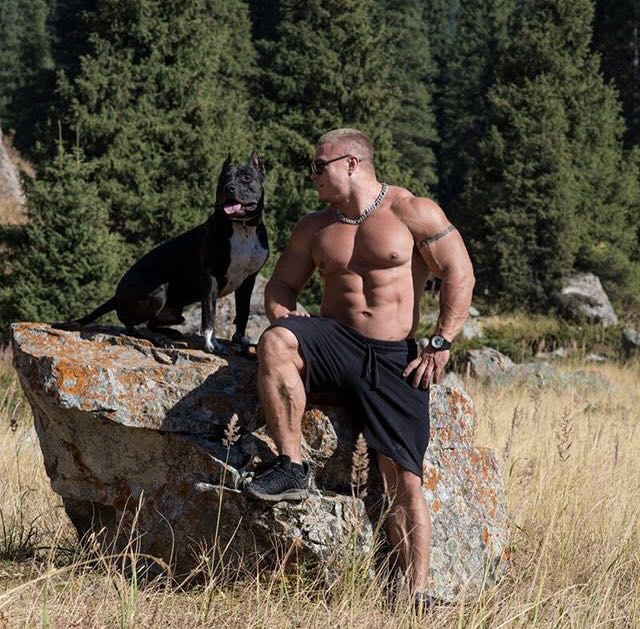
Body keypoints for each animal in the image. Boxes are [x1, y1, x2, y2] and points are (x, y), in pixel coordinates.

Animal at [62, 152, 269, 355]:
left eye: (247, 178)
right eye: (224, 178)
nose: (229, 188)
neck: (242, 228)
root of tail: (116, 295)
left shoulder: (248, 280)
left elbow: (243, 312)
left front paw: (241, 340)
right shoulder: (210, 276)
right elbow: (209, 314)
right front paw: (212, 344)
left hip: (175, 314)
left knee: (151, 323)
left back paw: (171, 332)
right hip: (158, 292)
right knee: (132, 326)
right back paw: (159, 339)